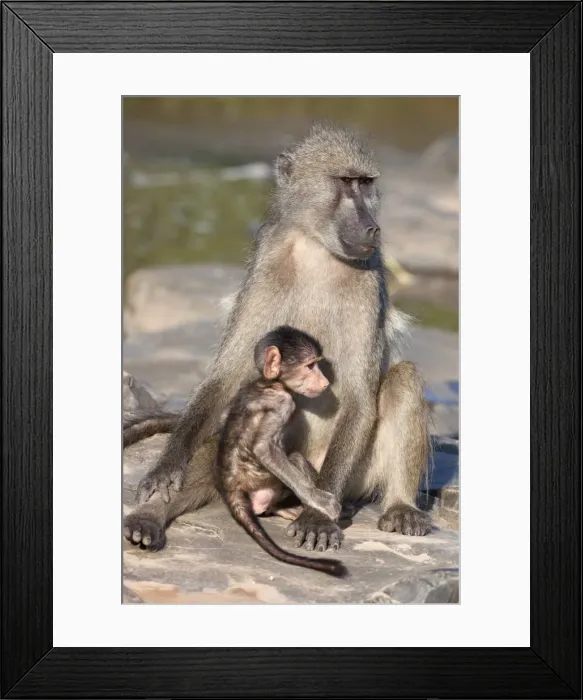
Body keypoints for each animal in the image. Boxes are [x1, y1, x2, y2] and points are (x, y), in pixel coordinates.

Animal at [212, 326, 347, 577]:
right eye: (310, 366)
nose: (325, 383)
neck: (268, 383)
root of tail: (230, 488)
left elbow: (223, 418)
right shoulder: (282, 403)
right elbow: (263, 447)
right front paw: (321, 501)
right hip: (265, 481)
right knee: (294, 458)